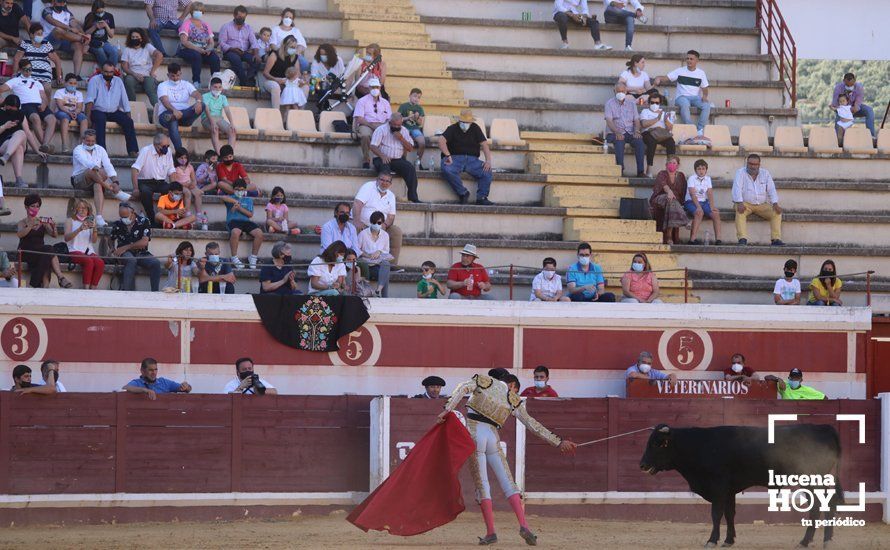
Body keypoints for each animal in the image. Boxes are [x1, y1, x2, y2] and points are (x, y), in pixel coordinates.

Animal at [640, 426, 840, 548]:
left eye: (657, 444)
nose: (642, 465)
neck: (700, 445)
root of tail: (825, 428)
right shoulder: (729, 490)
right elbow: (729, 514)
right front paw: (728, 540)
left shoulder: (718, 487)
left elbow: (716, 514)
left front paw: (712, 541)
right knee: (826, 504)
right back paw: (825, 540)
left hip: (812, 480)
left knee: (819, 505)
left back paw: (807, 541)